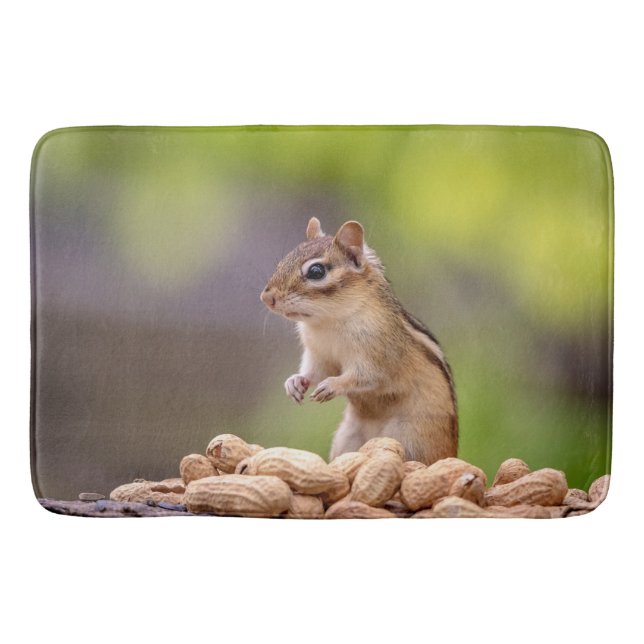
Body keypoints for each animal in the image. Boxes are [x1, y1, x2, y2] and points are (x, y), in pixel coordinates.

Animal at [260, 217, 458, 465]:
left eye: (316, 271)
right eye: (282, 262)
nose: (266, 297)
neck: (328, 322)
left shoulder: (378, 354)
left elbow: (366, 376)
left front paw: (332, 385)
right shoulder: (319, 355)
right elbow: (316, 371)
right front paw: (295, 382)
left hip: (410, 438)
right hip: (347, 438)